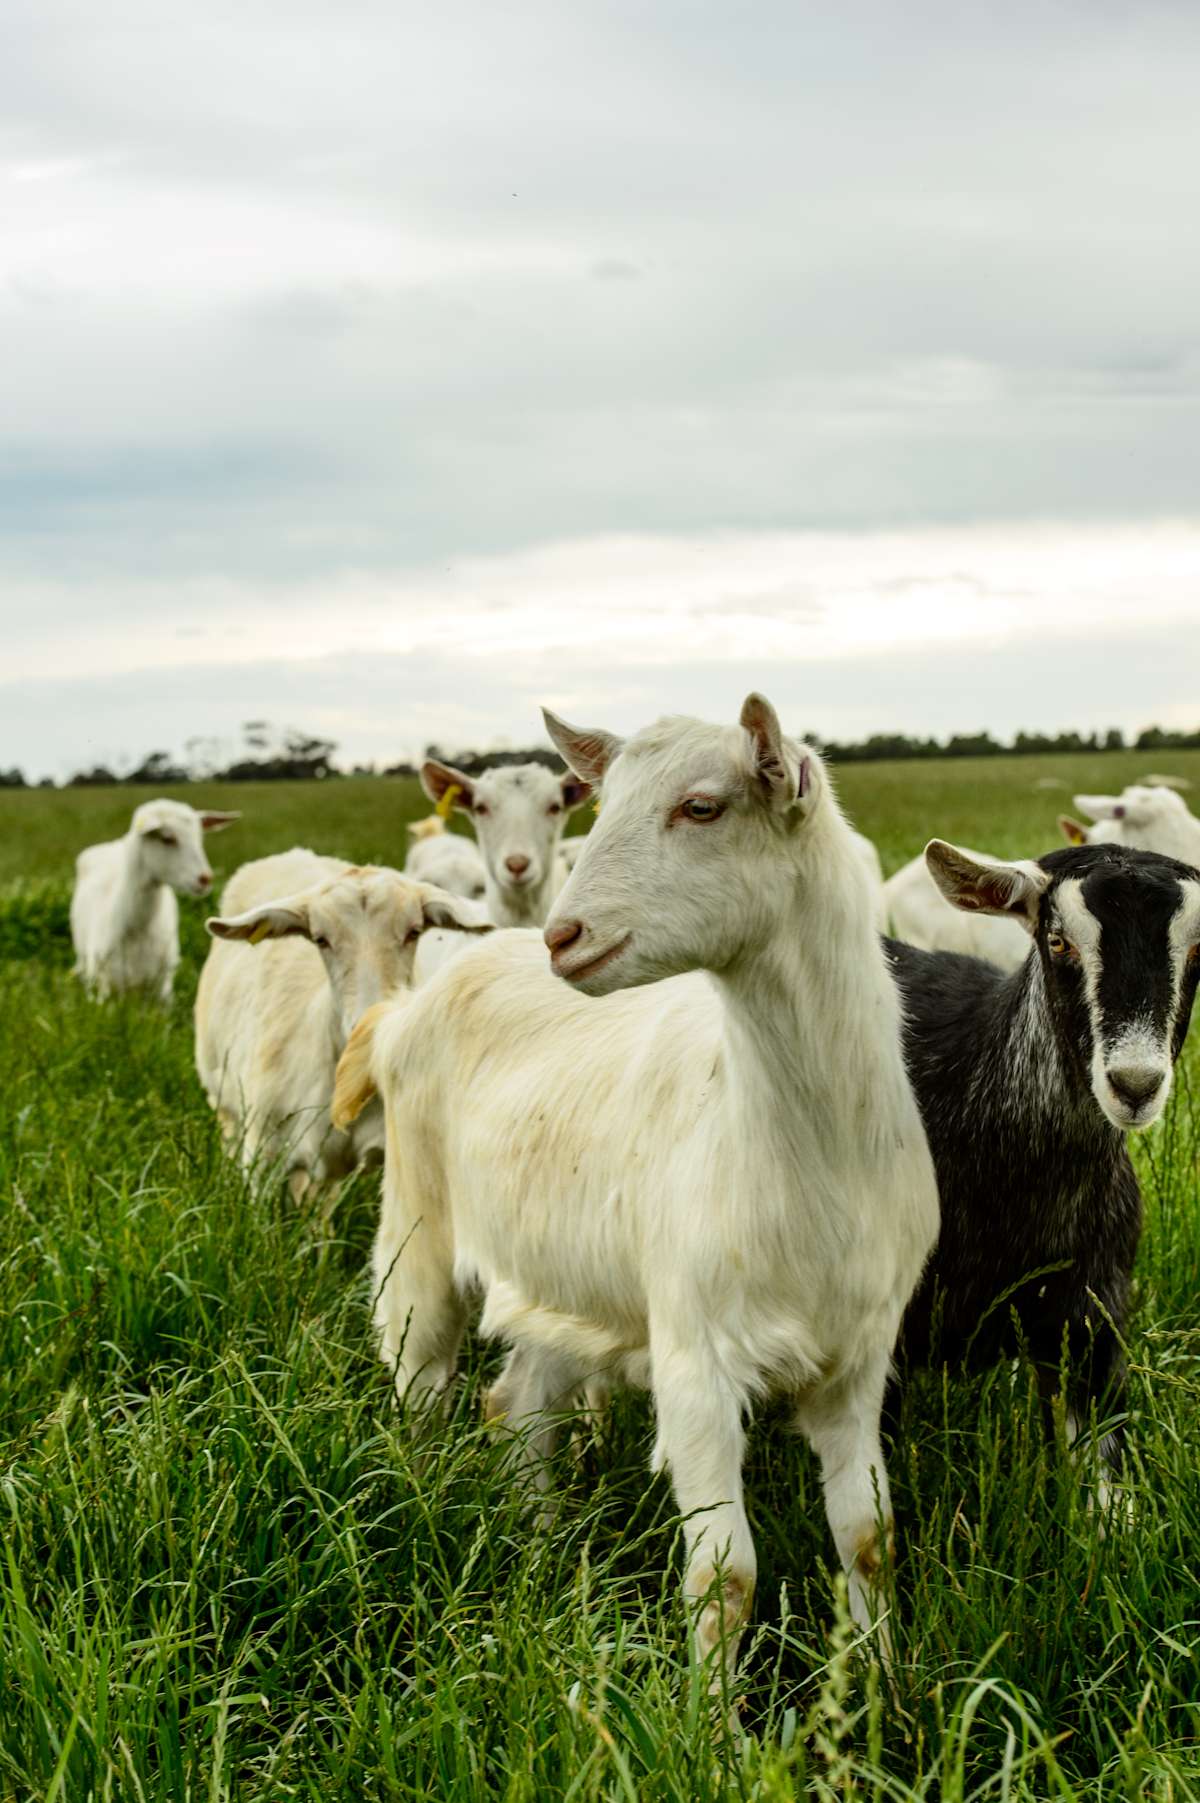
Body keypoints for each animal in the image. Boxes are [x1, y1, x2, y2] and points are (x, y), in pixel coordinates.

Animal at [70, 798, 240, 1001]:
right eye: (167, 838)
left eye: (199, 837)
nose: (205, 879)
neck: (136, 932)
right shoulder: (101, 988)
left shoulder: (164, 990)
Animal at [195, 850, 489, 1201]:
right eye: (321, 939)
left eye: (414, 932)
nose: (368, 1025)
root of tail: (293, 854)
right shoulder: (262, 1148)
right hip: (224, 1101)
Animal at [334, 695, 939, 1683]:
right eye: (601, 803)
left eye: (701, 806)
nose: (563, 937)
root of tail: (405, 1008)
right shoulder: (694, 1354)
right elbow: (725, 1576)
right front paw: (710, 1718)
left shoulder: (858, 1356)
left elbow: (869, 1537)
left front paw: (875, 1688)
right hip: (417, 1229)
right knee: (418, 1382)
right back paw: (423, 1518)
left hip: (556, 1277)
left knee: (516, 1406)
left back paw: (539, 1549)